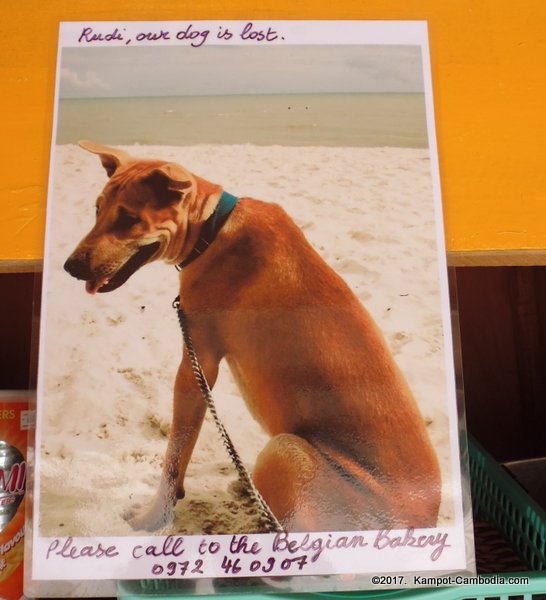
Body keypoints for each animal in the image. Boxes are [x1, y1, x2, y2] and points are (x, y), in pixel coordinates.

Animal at [63, 142, 438, 536]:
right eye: (97, 210)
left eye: (129, 219)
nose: (70, 267)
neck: (210, 229)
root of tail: (424, 520)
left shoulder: (196, 365)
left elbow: (174, 454)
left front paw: (154, 517)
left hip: (285, 453)